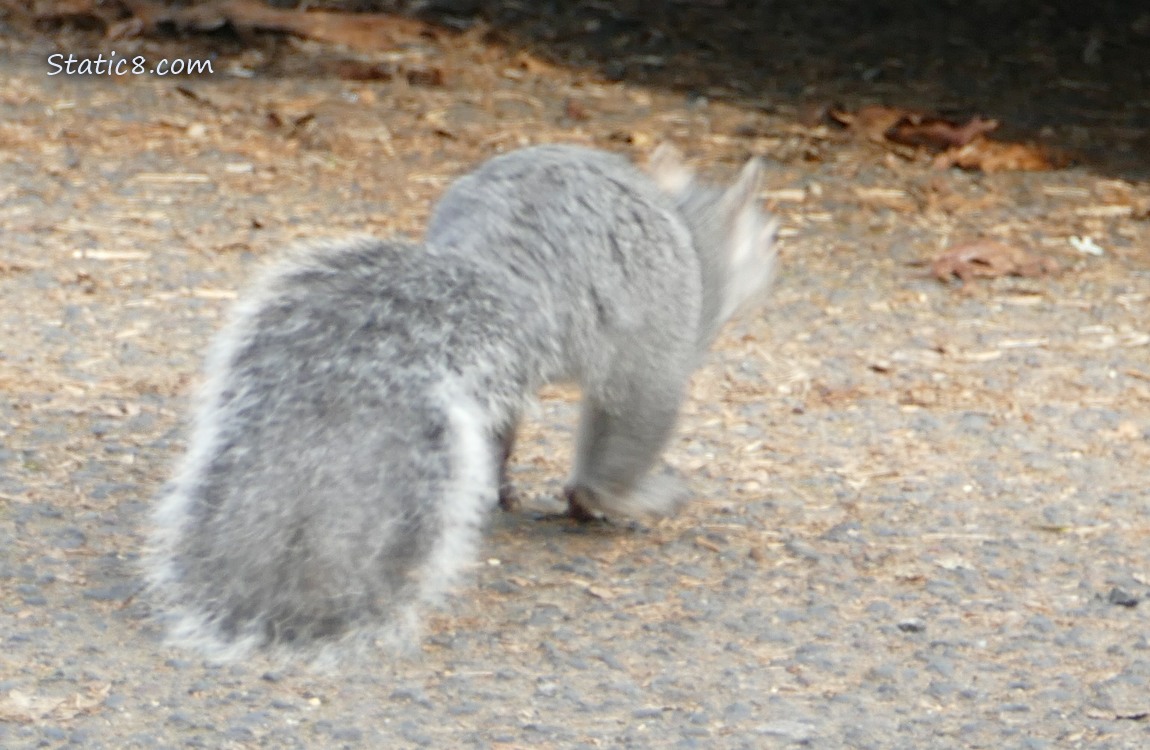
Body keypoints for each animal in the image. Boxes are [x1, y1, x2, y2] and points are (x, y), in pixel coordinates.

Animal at [145, 144, 779, 660]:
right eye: (766, 238)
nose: (772, 267)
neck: (691, 233)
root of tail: (507, 271)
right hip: (649, 358)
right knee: (622, 444)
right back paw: (627, 498)